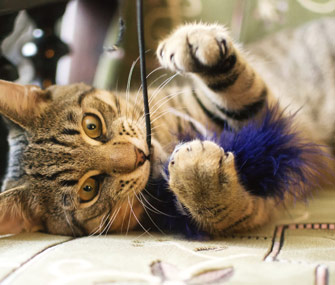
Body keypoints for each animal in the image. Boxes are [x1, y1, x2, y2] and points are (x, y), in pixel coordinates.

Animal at [0, 18, 335, 235]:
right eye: (88, 189)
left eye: (91, 125)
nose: (138, 156)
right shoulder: (258, 203)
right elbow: (221, 213)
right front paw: (197, 176)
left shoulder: (268, 118)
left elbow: (238, 86)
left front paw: (196, 45)